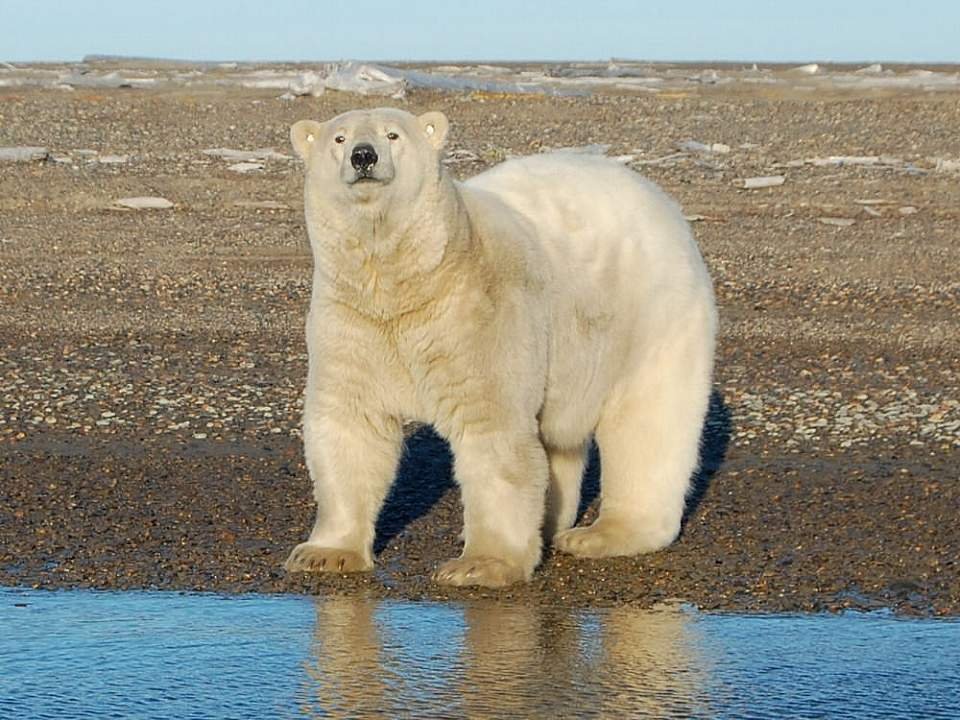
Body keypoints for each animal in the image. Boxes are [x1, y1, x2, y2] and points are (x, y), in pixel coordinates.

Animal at [284, 108, 716, 588]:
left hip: (651, 315)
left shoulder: (478, 311)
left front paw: (479, 565)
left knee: (647, 424)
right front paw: (324, 553)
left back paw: (603, 534)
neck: (411, 282)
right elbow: (350, 424)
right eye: (338, 138)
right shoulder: (353, 320)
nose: (364, 156)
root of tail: (665, 204)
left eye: (392, 134)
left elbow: (493, 432)